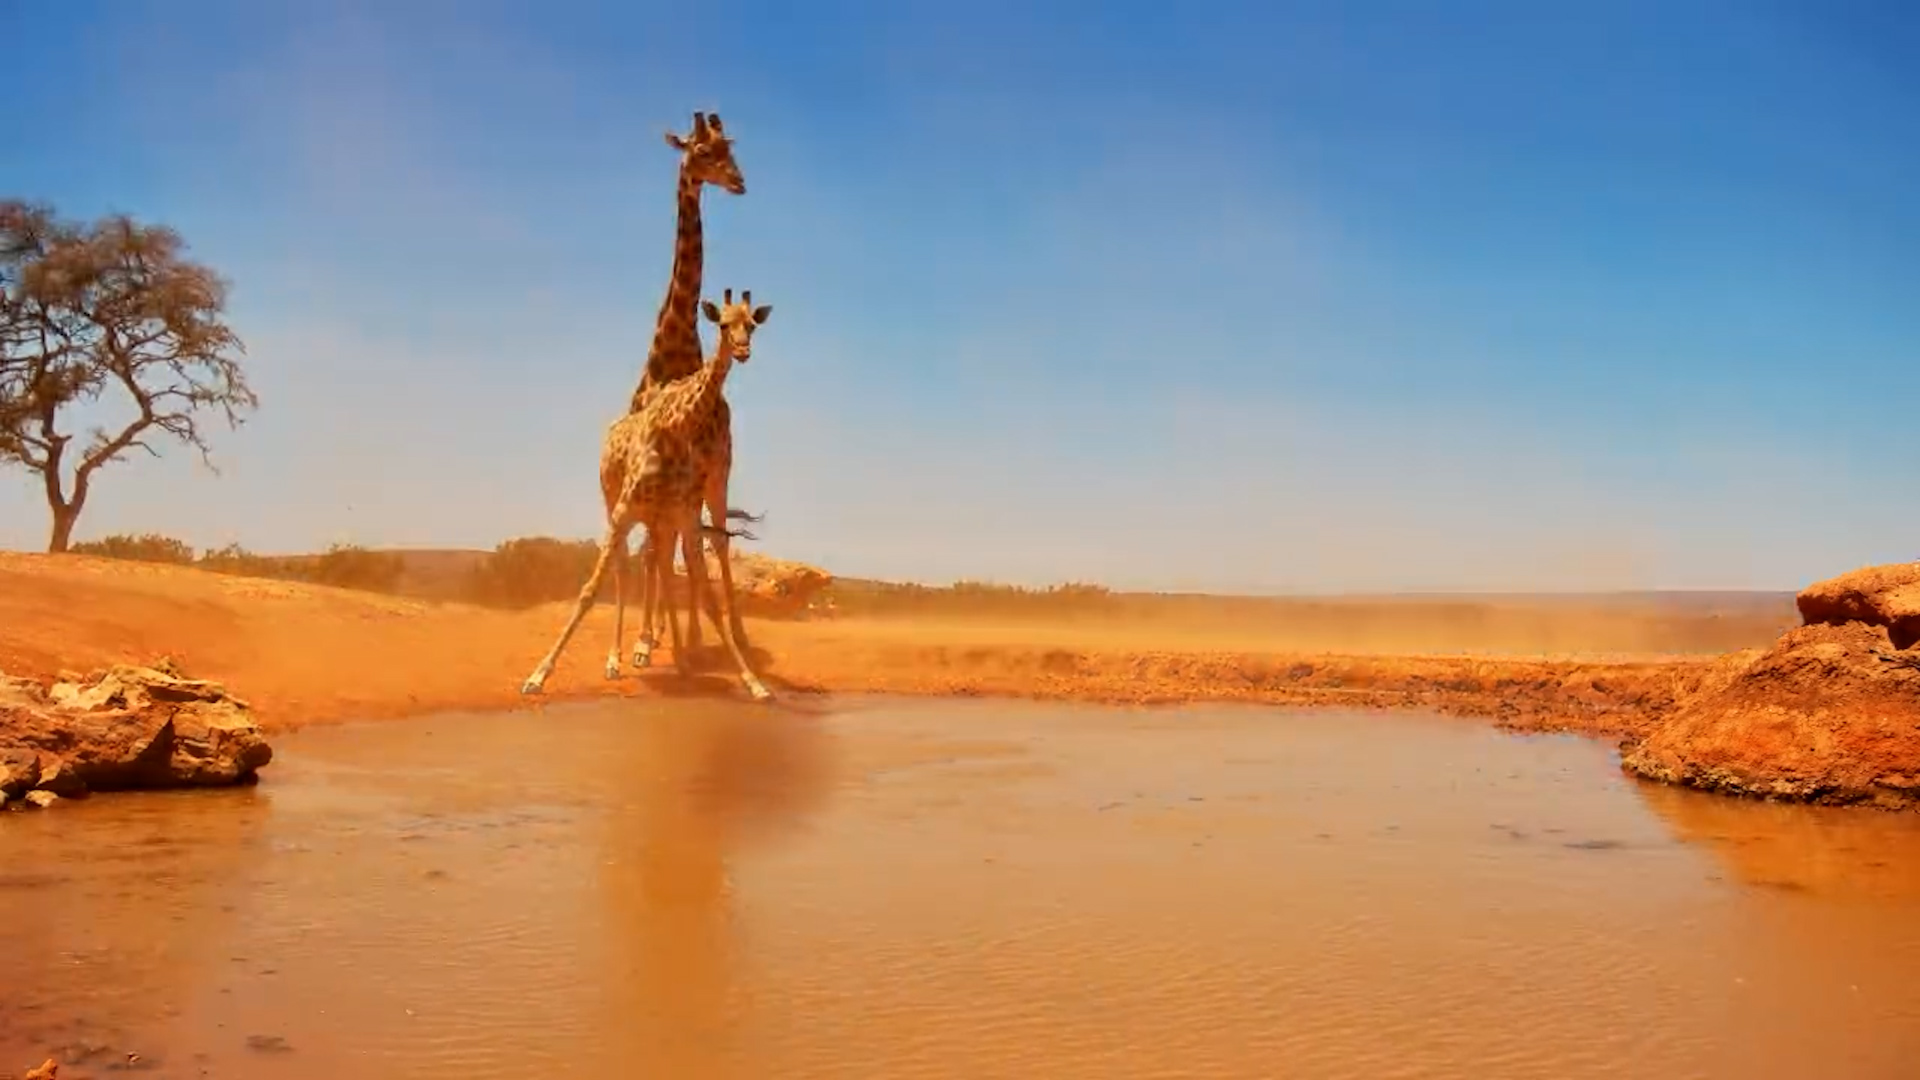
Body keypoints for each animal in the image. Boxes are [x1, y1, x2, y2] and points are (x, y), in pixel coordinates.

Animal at [522, 289, 775, 701]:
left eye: (751, 325)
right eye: (723, 324)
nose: (742, 350)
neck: (677, 424)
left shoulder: (680, 514)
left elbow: (705, 596)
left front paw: (754, 683)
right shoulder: (627, 509)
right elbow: (589, 590)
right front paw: (538, 674)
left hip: (671, 512)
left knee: (664, 565)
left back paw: (677, 656)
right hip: (615, 505)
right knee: (626, 568)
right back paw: (617, 659)